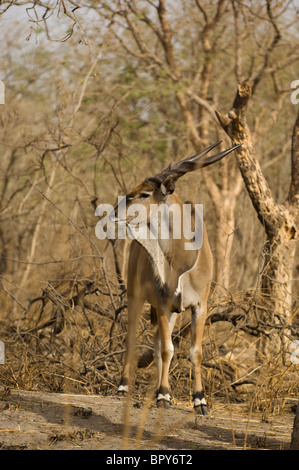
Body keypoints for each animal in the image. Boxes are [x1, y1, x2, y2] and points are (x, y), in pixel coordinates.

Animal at [112, 140, 241, 414]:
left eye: (145, 193)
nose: (114, 212)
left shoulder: (199, 306)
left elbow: (194, 351)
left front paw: (200, 400)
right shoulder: (162, 303)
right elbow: (168, 349)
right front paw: (163, 395)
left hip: (170, 312)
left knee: (157, 342)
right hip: (136, 297)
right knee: (133, 339)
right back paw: (124, 387)